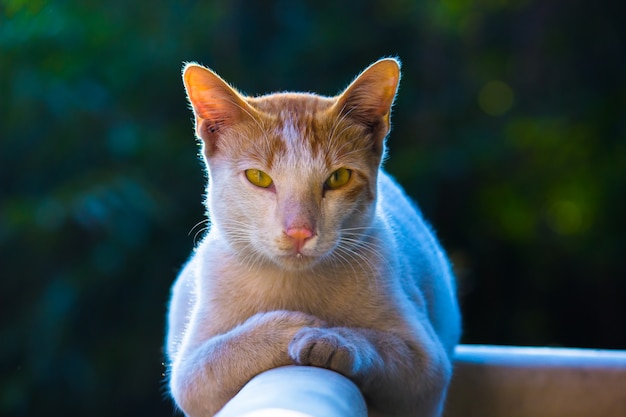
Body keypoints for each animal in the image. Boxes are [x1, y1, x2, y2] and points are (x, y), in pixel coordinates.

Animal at [165, 57, 458, 416]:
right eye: (258, 177)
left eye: (339, 177)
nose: (299, 230)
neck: (293, 283)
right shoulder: (188, 373)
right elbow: (213, 360)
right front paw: (288, 327)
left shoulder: (426, 369)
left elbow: (387, 350)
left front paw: (330, 338)